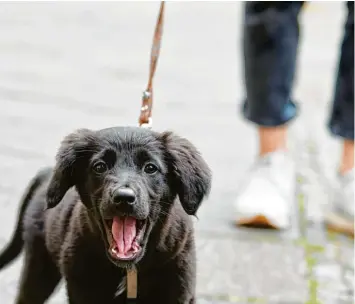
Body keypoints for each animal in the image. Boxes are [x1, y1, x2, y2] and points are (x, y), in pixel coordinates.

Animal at [0, 124, 211, 302]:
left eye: (150, 168)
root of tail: (45, 174)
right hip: (39, 269)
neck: (128, 271)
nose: (124, 198)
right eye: (99, 166)